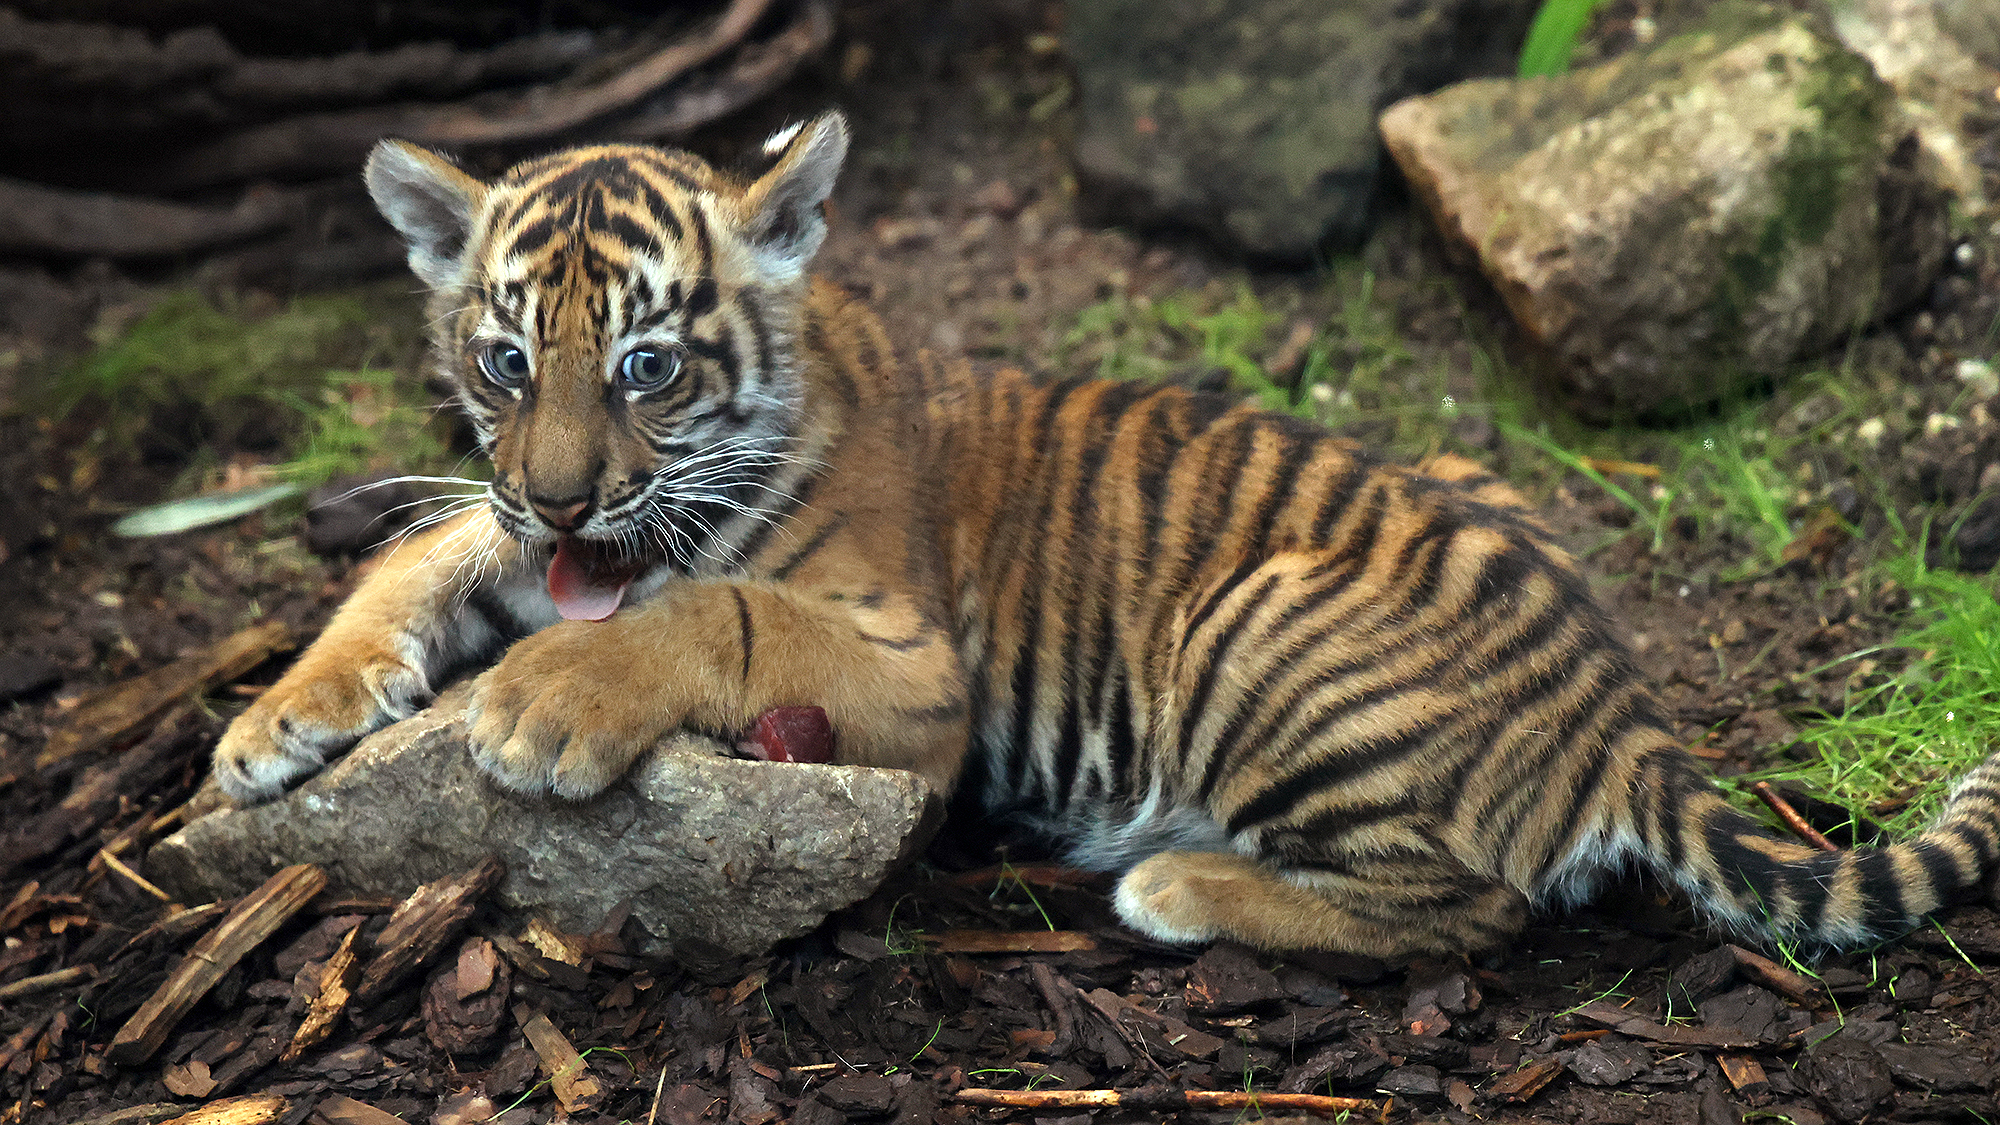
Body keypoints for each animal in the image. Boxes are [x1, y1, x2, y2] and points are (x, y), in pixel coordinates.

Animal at [212, 111, 2000, 958]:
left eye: (648, 365)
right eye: (506, 361)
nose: (566, 495)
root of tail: (1623, 706)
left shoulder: (911, 673)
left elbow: (719, 614)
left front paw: (540, 706)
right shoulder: (514, 519)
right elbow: (418, 554)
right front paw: (269, 727)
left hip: (1259, 631)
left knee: (1473, 908)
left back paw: (1178, 885)